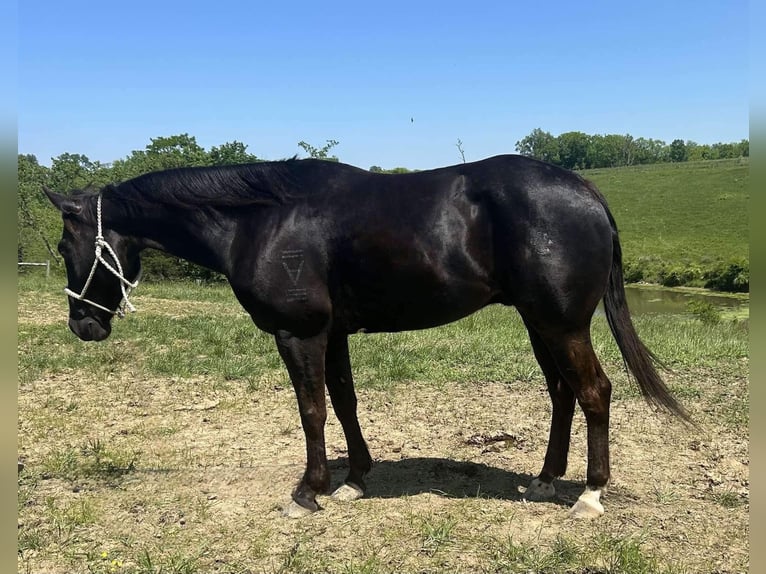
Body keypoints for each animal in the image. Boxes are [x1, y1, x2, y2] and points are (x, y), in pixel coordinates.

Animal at [45, 155, 688, 520]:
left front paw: (309, 492)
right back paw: (546, 480)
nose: (83, 325)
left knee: (594, 392)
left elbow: (311, 409)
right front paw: (354, 481)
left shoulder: (298, 333)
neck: (260, 219)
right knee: (562, 394)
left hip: (560, 323)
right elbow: (345, 402)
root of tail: (587, 191)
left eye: (62, 244)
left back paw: (590, 495)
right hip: (539, 322)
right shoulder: (332, 334)